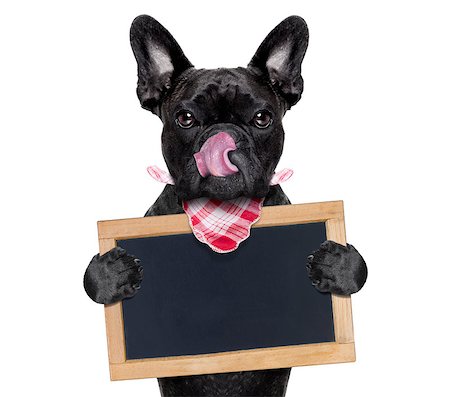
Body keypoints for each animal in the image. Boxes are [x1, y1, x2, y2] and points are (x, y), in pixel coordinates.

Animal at [82, 15, 368, 396]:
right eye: (185, 118)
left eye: (262, 118)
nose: (223, 136)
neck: (222, 210)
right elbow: (91, 278)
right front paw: (112, 271)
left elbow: (358, 267)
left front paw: (336, 264)